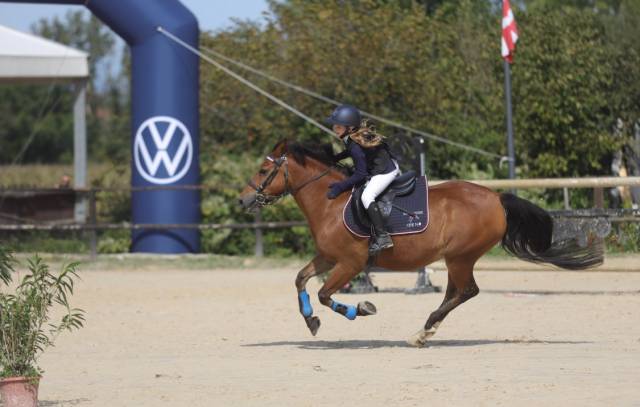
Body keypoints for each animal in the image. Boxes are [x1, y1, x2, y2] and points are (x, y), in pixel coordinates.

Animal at [238, 141, 604, 348]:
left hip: (460, 256)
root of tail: (496, 198)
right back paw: (425, 332)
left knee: (466, 291)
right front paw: (310, 321)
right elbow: (301, 280)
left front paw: (362, 309)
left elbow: (326, 294)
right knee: (456, 292)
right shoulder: (327, 258)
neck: (330, 202)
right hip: (456, 259)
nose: (242, 200)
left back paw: (423, 330)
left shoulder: (350, 264)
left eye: (263, 169)